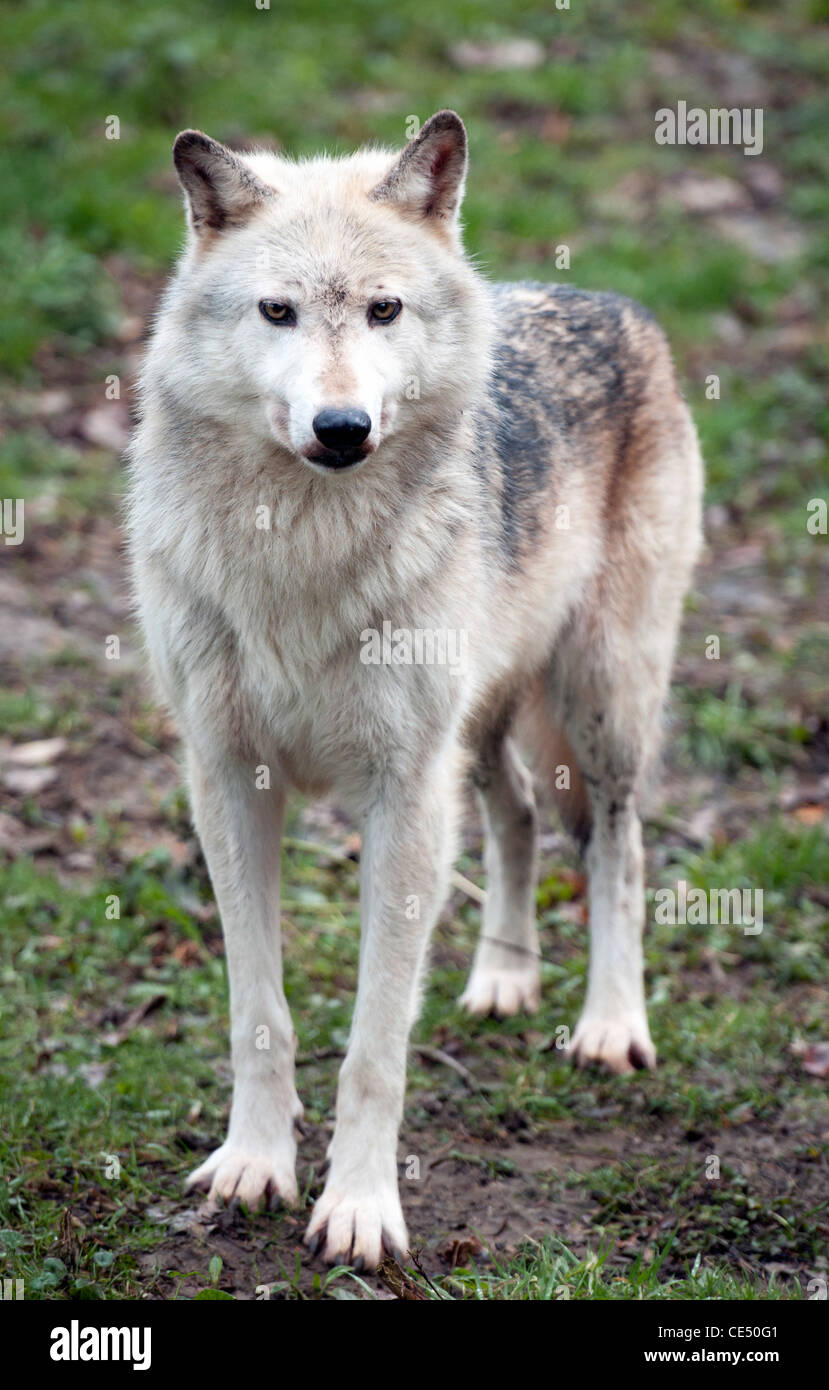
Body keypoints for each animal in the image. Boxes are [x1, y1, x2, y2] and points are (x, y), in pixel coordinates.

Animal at [127, 110, 703, 1269]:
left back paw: (609, 1025)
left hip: (597, 703)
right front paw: (253, 1165)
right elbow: (258, 1012)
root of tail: (613, 303)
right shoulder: (228, 780)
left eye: (383, 309)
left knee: (617, 848)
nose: (342, 427)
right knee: (519, 817)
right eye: (278, 310)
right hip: (478, 737)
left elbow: (374, 1045)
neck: (301, 551)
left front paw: (357, 1210)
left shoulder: (402, 794)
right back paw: (502, 980)